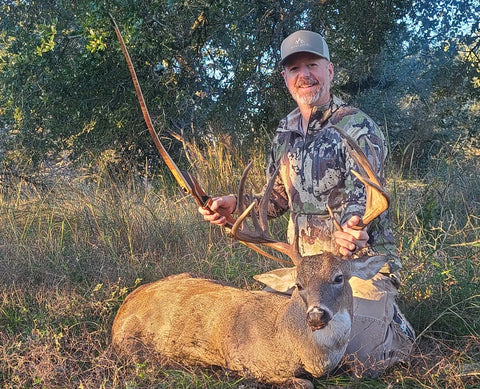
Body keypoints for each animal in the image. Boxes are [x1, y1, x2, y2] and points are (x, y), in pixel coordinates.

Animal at [111, 129, 390, 386]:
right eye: (298, 285)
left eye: (339, 277)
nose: (316, 316)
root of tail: (124, 306)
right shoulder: (249, 364)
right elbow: (303, 383)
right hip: (135, 347)